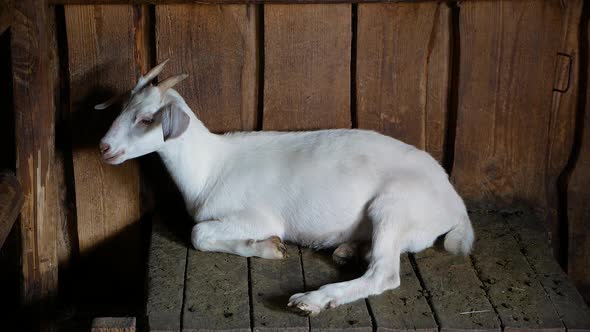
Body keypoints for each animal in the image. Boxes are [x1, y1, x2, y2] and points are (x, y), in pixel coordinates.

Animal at [98, 61, 476, 318]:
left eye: (147, 118)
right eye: (123, 109)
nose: (104, 147)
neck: (211, 167)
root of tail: (455, 205)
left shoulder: (256, 216)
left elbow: (199, 234)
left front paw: (268, 246)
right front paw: (266, 247)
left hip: (394, 206)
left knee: (384, 273)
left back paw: (312, 300)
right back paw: (350, 250)